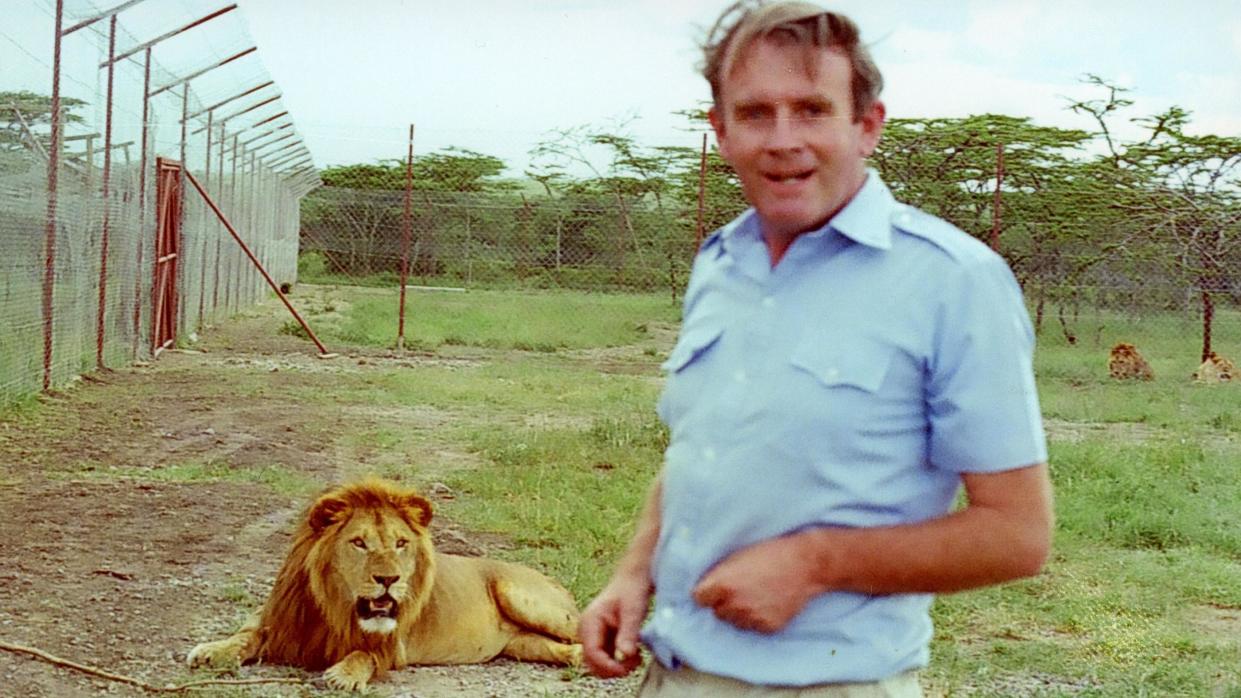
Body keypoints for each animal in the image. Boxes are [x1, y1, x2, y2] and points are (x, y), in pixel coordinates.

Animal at [187, 474, 580, 685]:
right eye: (359, 543)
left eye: (401, 543)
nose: (389, 578)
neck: (334, 608)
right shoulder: (281, 621)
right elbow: (247, 634)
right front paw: (212, 650)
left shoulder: (391, 647)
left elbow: (364, 653)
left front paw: (343, 675)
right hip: (524, 643)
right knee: (565, 651)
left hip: (526, 600)